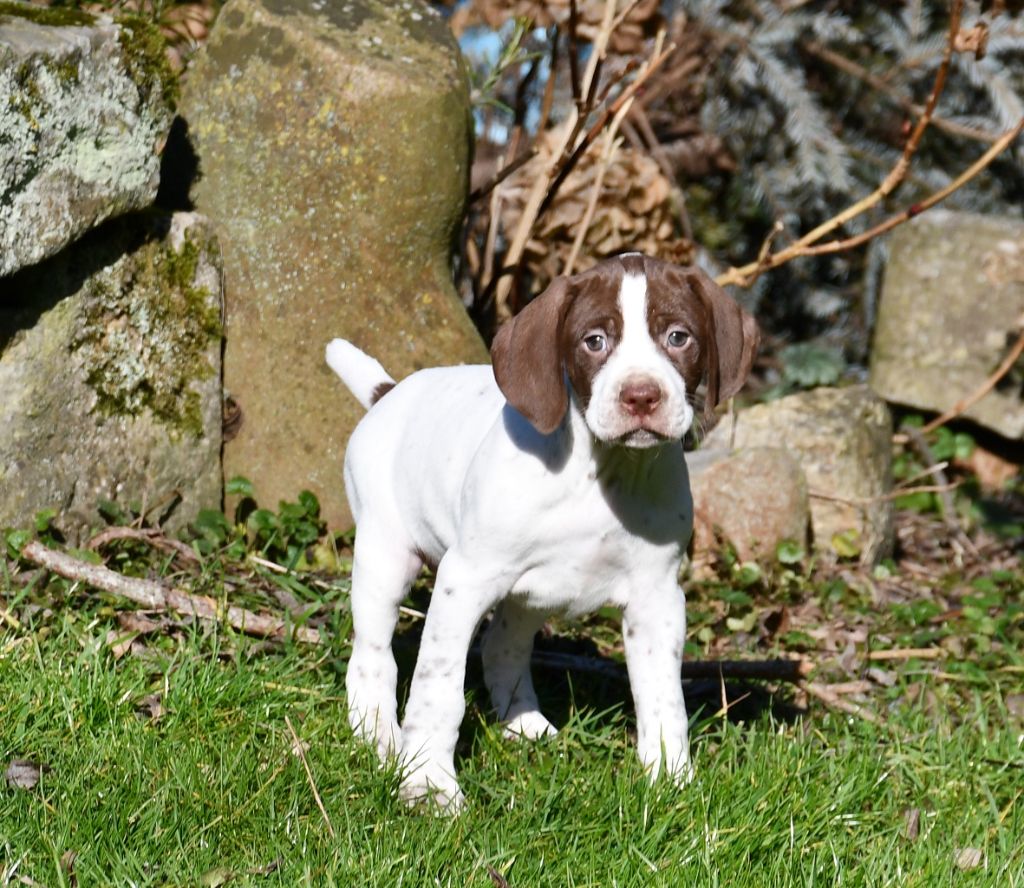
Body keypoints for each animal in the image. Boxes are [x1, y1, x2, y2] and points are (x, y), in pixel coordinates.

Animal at [323, 251, 757, 811]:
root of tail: (389, 393)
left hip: (527, 594)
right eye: (594, 341)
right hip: (386, 554)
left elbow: (663, 698)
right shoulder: (465, 580)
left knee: (501, 647)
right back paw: (378, 736)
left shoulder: (657, 596)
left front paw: (670, 780)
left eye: (679, 337)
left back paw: (526, 725)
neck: (602, 472)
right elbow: (438, 688)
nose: (641, 396)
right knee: (372, 657)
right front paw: (429, 785)